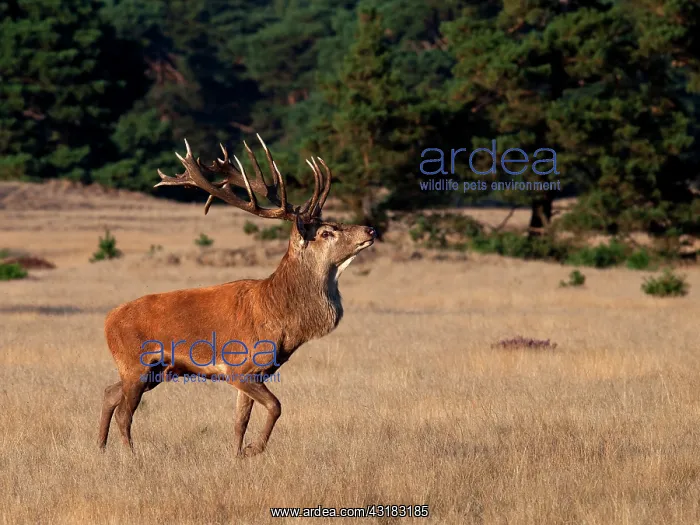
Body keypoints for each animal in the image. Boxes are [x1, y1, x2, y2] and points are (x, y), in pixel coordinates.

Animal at [98, 135, 376, 457]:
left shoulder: (257, 372)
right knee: (125, 412)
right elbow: (276, 406)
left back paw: (100, 448)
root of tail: (108, 320)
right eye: (327, 232)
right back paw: (131, 456)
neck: (280, 317)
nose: (370, 229)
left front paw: (237, 455)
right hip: (135, 363)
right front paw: (254, 449)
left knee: (109, 393)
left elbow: (240, 421)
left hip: (155, 370)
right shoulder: (238, 367)